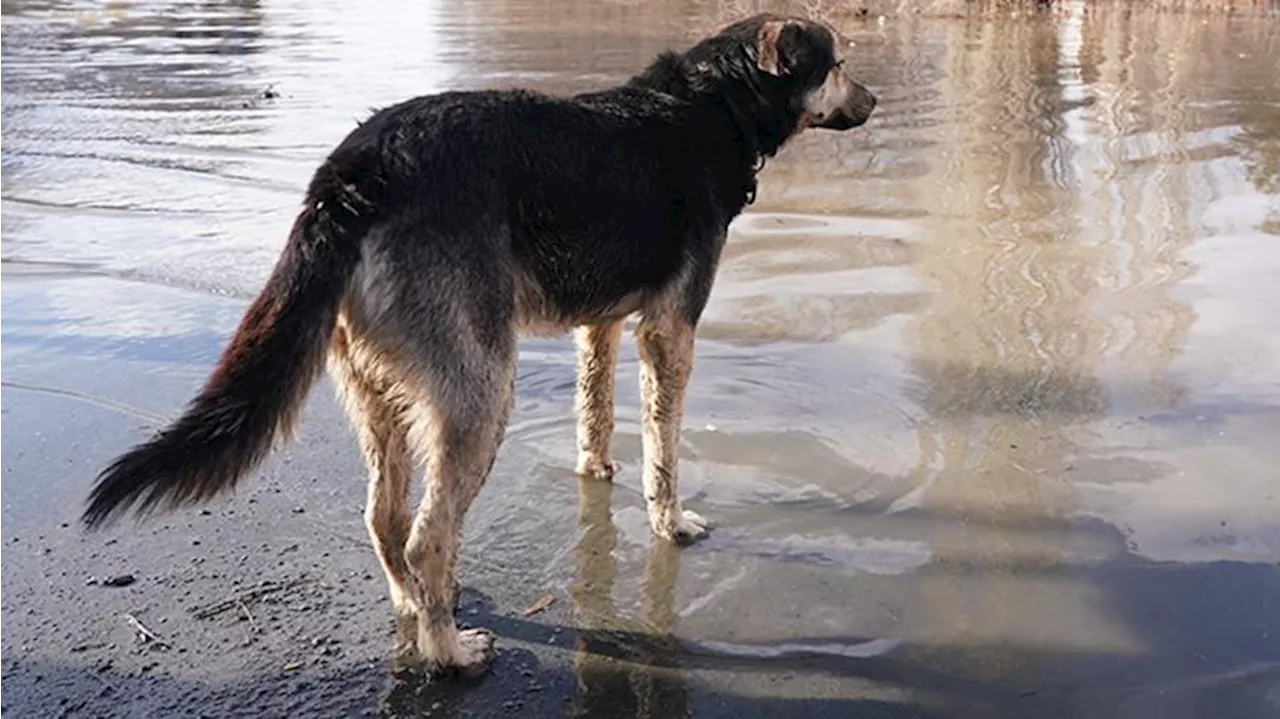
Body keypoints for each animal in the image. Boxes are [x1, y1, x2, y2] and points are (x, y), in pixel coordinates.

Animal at [82, 12, 880, 670]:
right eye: (838, 62)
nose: (875, 103)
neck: (715, 105)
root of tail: (353, 175)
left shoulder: (599, 325)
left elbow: (595, 412)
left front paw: (596, 469)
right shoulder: (669, 331)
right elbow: (665, 451)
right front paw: (671, 522)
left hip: (376, 389)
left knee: (384, 518)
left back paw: (416, 604)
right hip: (481, 392)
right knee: (426, 533)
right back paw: (449, 651)